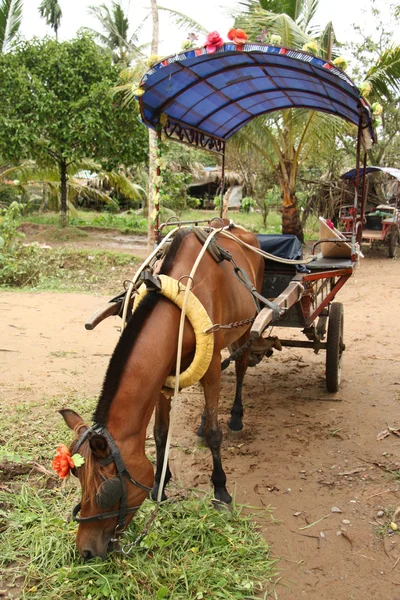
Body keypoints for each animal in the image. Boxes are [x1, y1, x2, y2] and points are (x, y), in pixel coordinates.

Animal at [59, 225, 266, 556]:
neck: (177, 305)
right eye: (76, 478)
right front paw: (160, 483)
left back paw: (235, 416)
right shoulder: (164, 375)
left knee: (241, 368)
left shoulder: (210, 368)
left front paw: (220, 489)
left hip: (246, 328)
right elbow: (159, 433)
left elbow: (215, 434)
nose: (85, 551)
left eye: (107, 492)